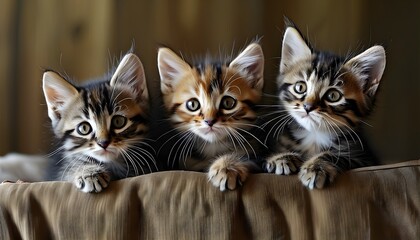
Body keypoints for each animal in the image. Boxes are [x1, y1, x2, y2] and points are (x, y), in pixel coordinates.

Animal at [264, 23, 386, 189]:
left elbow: (336, 155)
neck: (314, 135)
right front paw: (282, 158)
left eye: (333, 96)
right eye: (300, 87)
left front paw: (316, 167)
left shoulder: (364, 158)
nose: (307, 107)